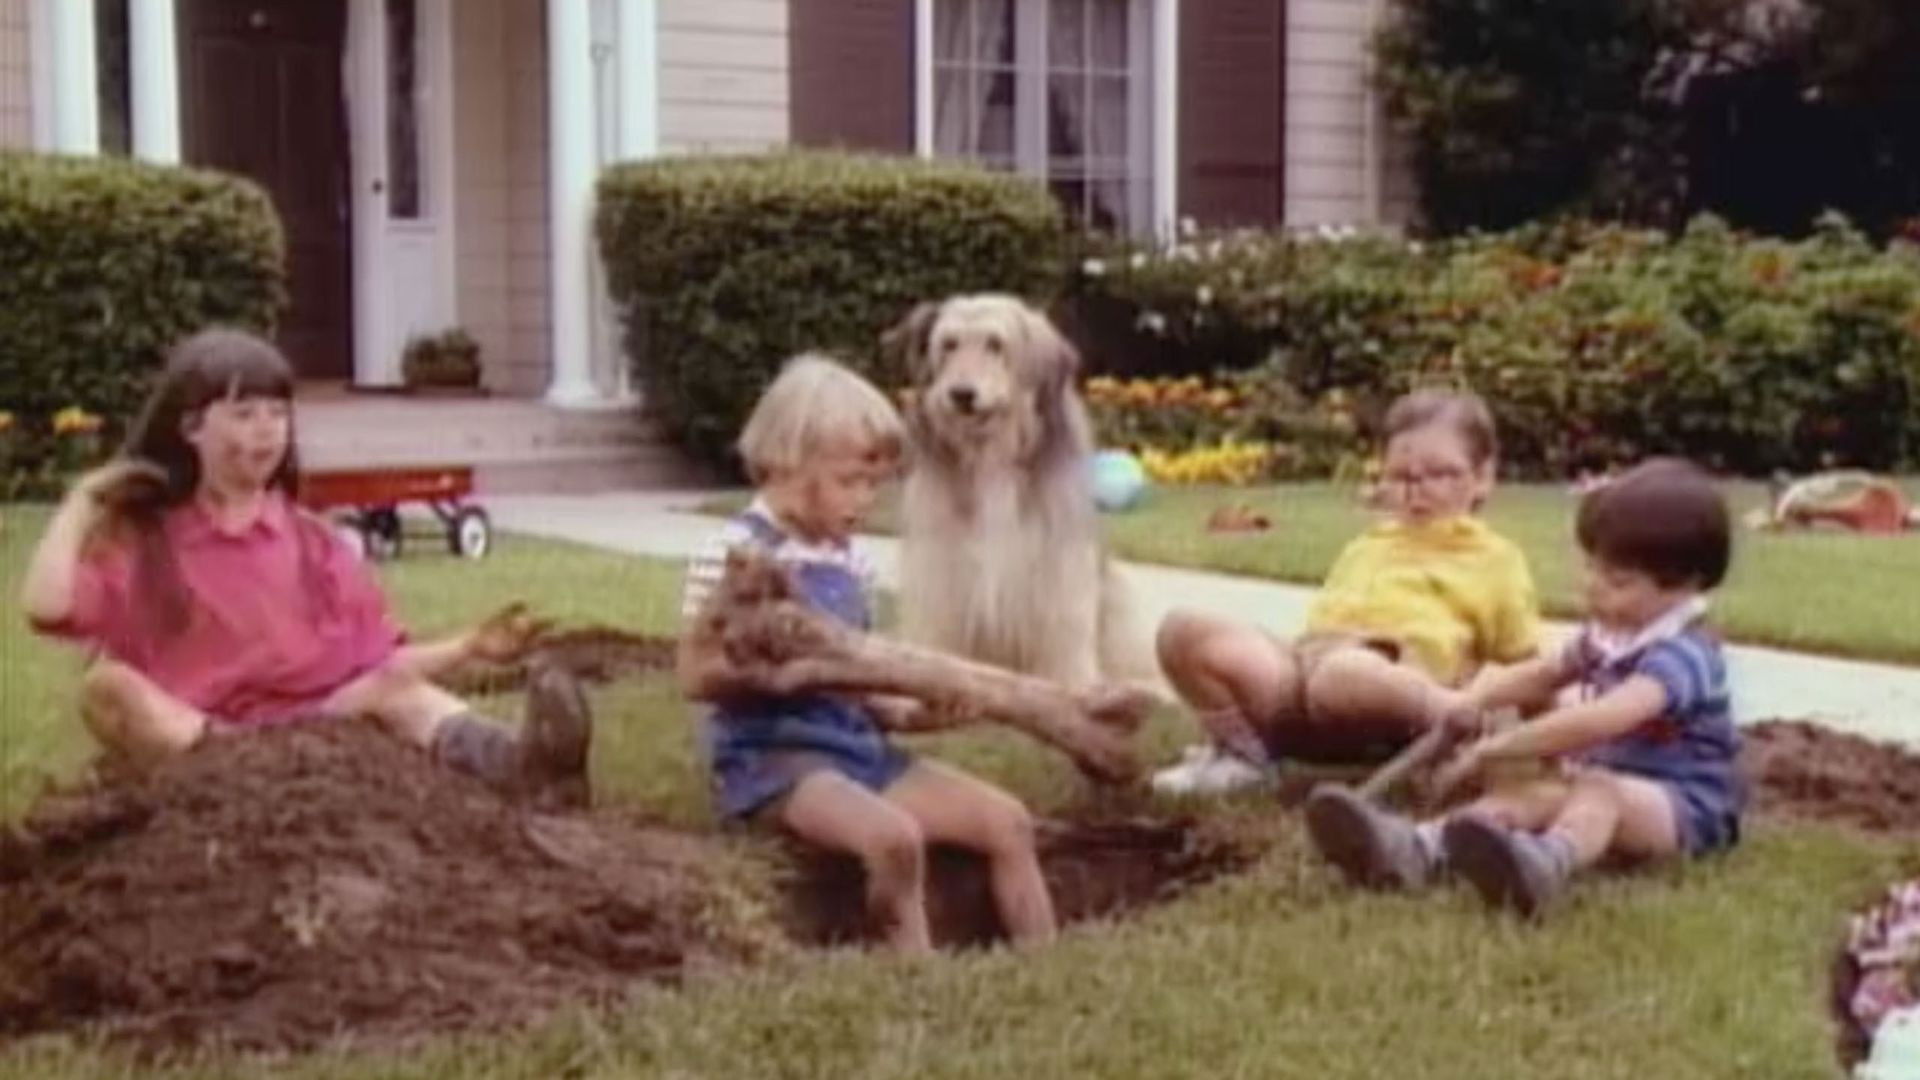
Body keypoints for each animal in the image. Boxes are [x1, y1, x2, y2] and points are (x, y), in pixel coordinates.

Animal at [884, 293, 1158, 693]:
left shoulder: (1060, 576)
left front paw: (1073, 691)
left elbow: (1064, 644)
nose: (961, 395)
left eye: (995, 344)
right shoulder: (941, 574)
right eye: (948, 345)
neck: (990, 461)